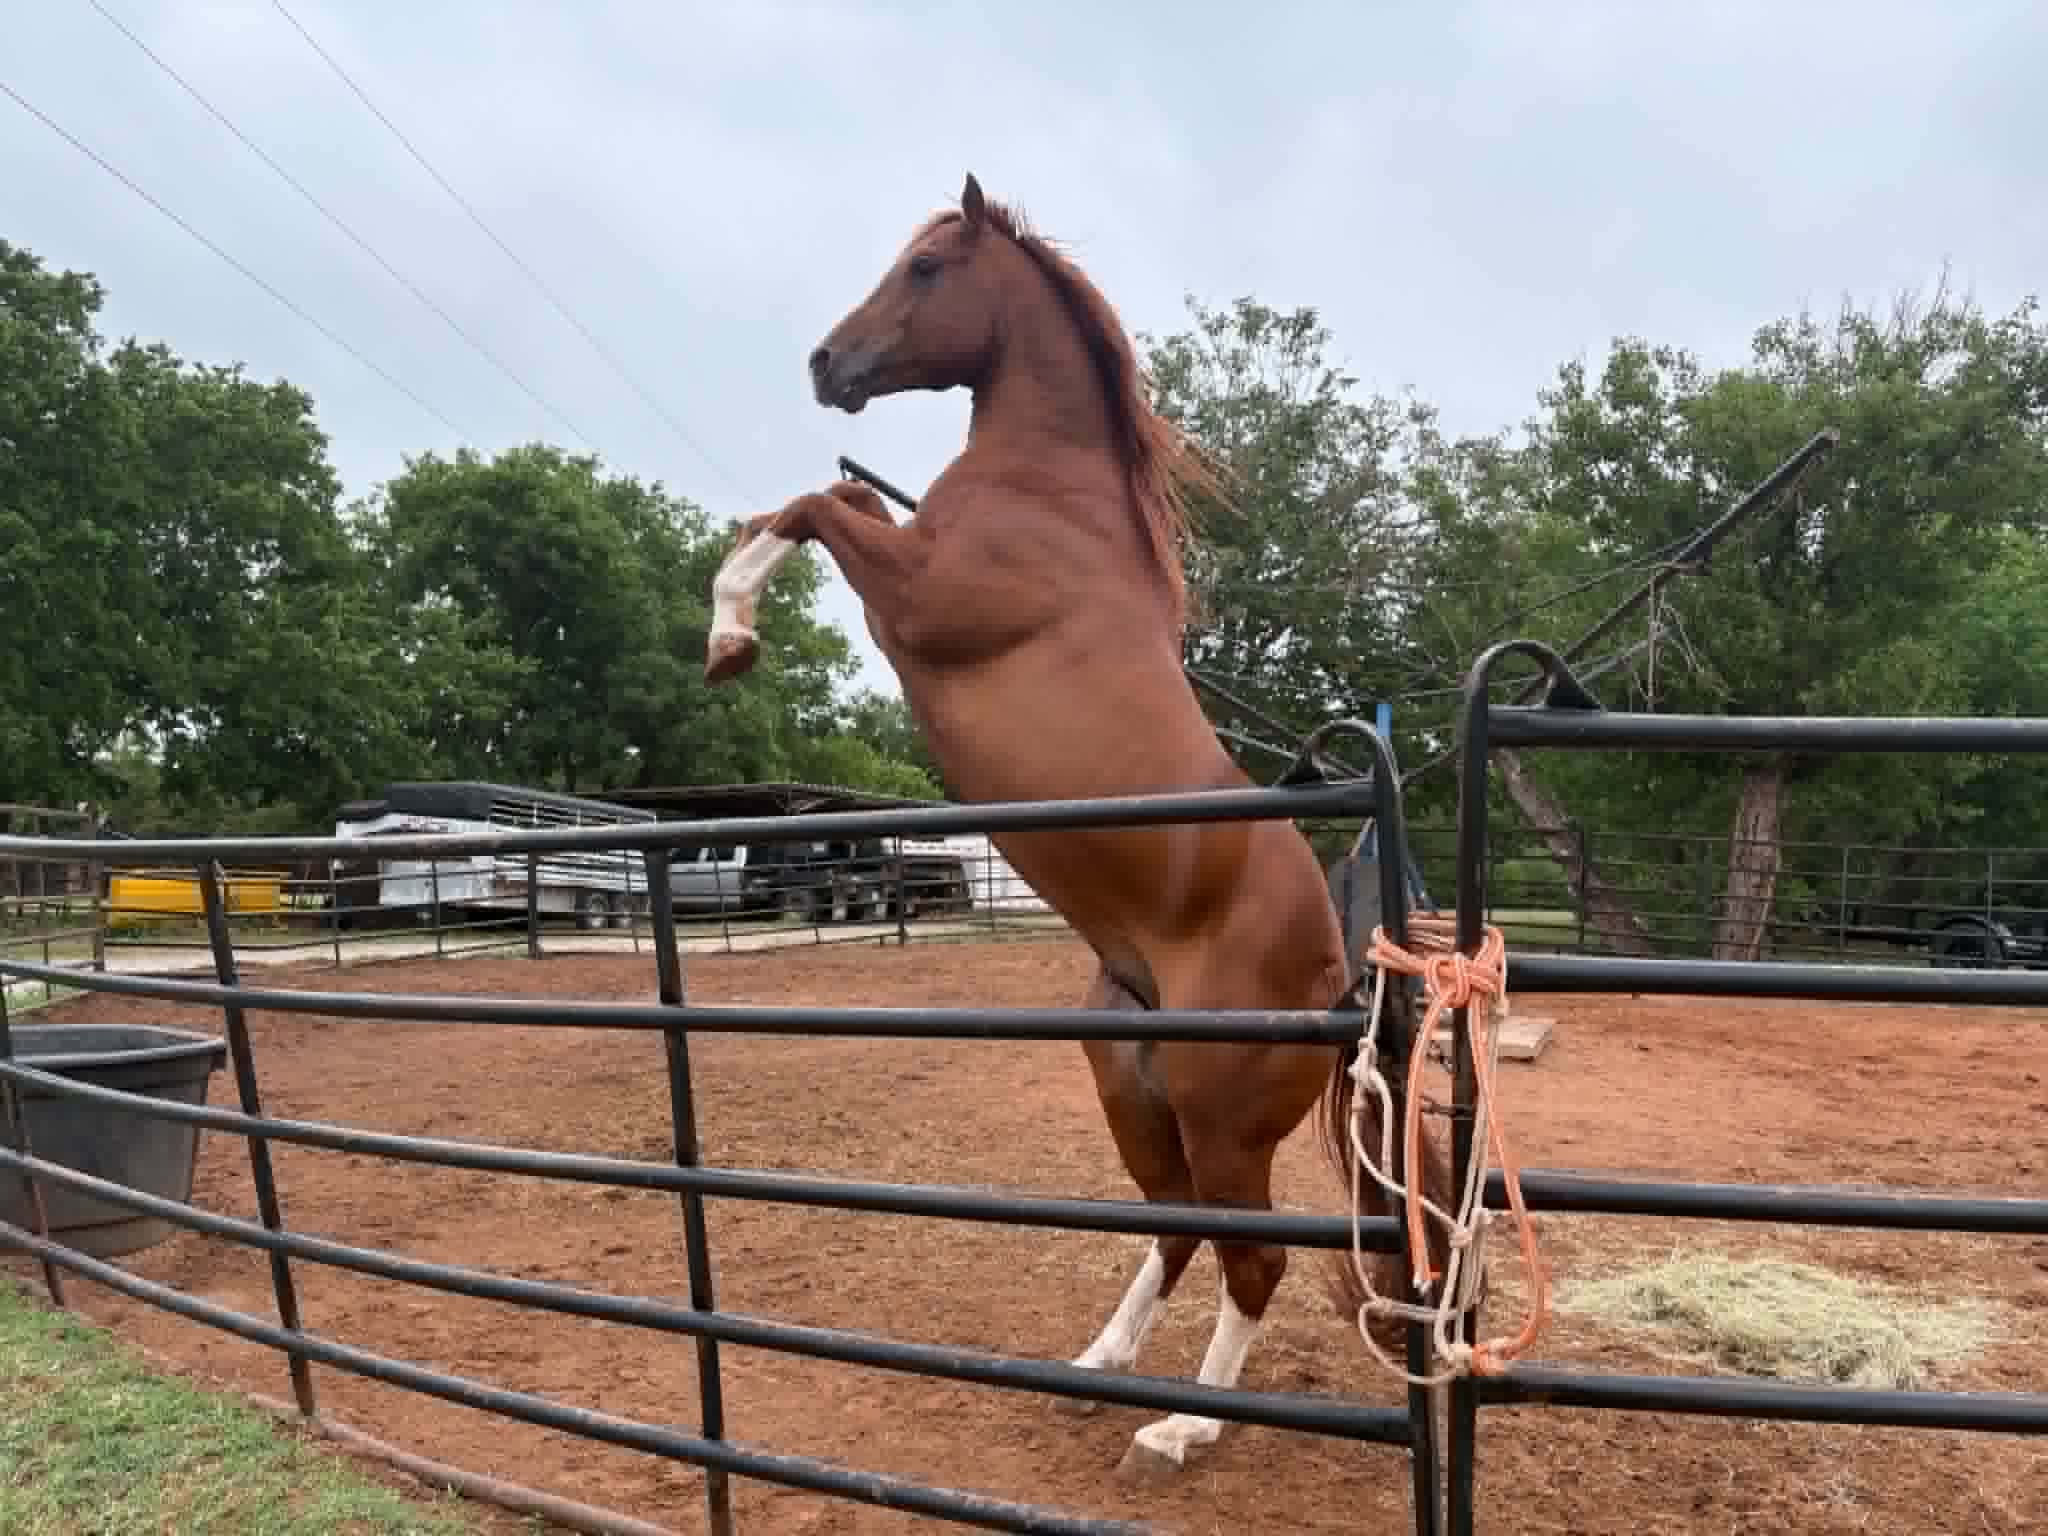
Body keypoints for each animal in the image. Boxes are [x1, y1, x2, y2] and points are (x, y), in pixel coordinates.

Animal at [704, 172, 1455, 1476]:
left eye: (928, 268)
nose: (826, 362)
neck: (1048, 501)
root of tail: (1337, 979)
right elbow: (824, 492)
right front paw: (729, 627)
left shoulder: (919, 594)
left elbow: (815, 502)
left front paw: (729, 632)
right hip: (1132, 1089)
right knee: (1178, 1228)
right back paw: (1098, 1364)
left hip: (1217, 1119)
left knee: (1253, 1257)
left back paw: (1182, 1428)